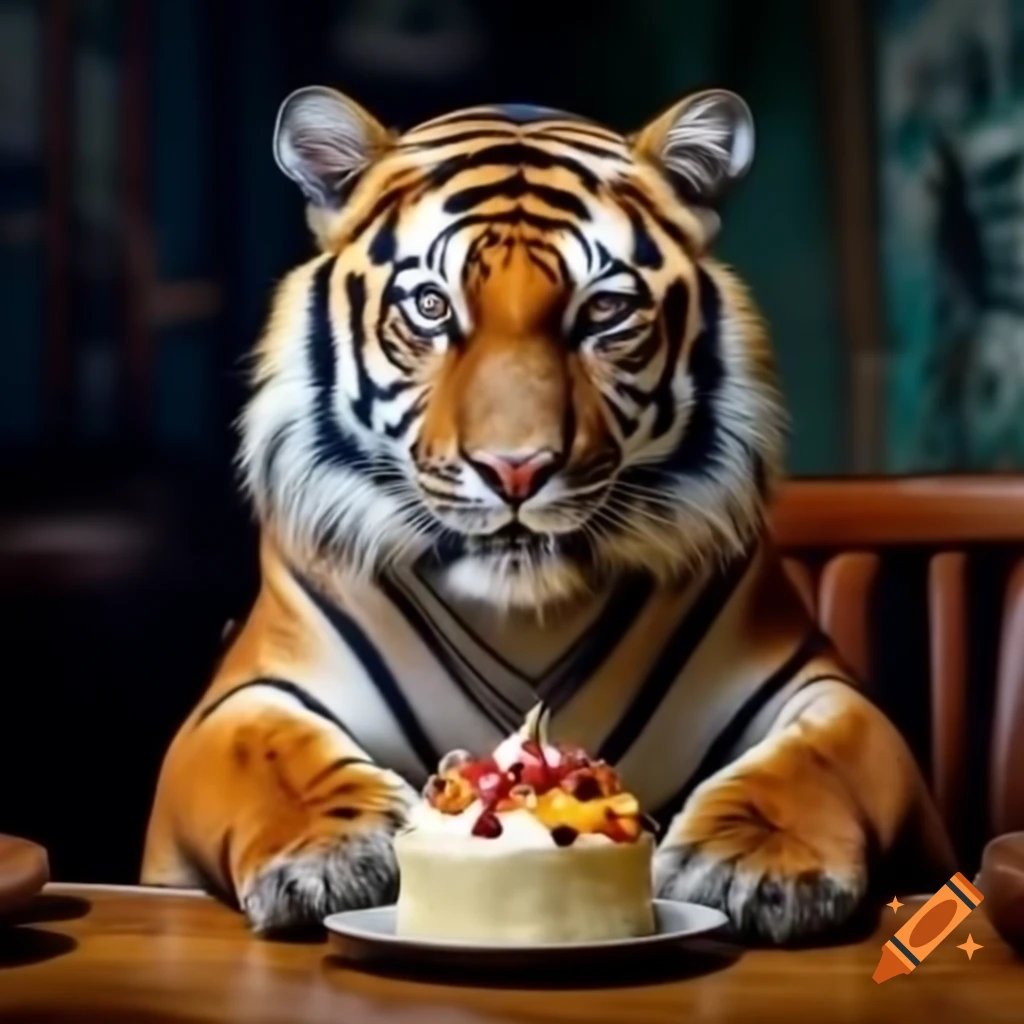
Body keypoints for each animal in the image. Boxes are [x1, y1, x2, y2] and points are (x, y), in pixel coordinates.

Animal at [141, 85, 954, 942]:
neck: (525, 615)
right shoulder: (243, 695)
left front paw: (756, 861)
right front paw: (336, 850)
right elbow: (270, 751)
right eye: (431, 307)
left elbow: (820, 755)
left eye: (603, 313)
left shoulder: (826, 690)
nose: (516, 469)